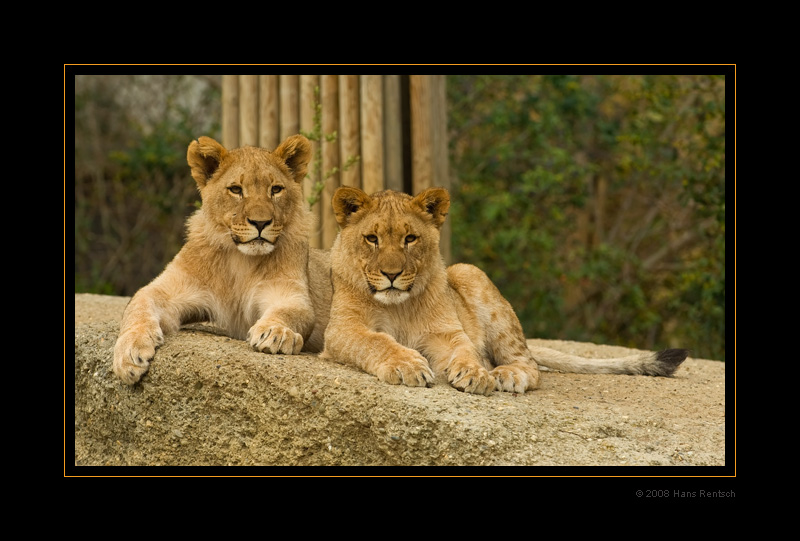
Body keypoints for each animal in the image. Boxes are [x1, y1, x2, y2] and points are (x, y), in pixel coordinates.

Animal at [112, 133, 332, 384]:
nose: (260, 223)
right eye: (236, 189)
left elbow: (290, 312)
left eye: (276, 189)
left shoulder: (291, 295)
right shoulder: (167, 290)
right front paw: (129, 353)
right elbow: (137, 307)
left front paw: (275, 332)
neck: (241, 260)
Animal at [318, 188, 688, 394]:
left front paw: (475, 373)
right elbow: (376, 341)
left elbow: (465, 350)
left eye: (410, 238)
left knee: (530, 364)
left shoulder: (447, 333)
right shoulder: (341, 330)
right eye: (372, 238)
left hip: (470, 272)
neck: (398, 305)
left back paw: (505, 374)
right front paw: (407, 365)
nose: (392, 274)